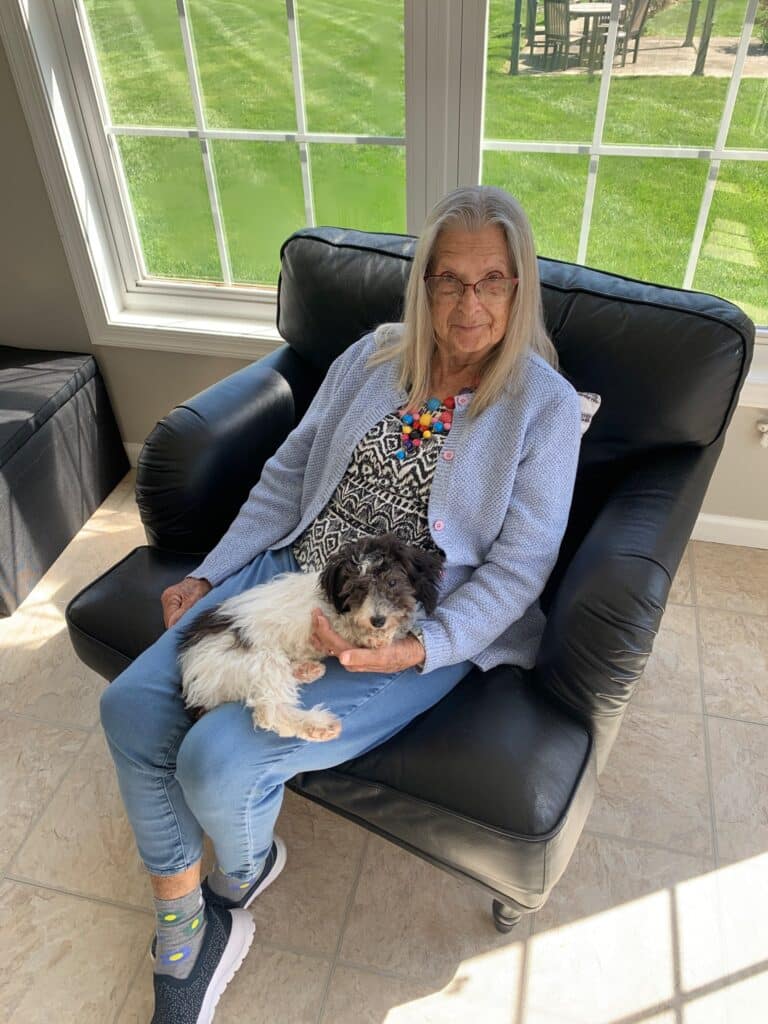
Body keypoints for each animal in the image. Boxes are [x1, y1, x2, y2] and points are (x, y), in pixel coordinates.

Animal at [177, 536, 442, 745]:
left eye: (392, 583)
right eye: (357, 589)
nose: (377, 620)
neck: (336, 604)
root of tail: (191, 676)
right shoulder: (331, 622)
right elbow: (352, 628)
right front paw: (375, 635)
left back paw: (306, 670)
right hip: (259, 659)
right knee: (269, 711)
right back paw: (319, 725)